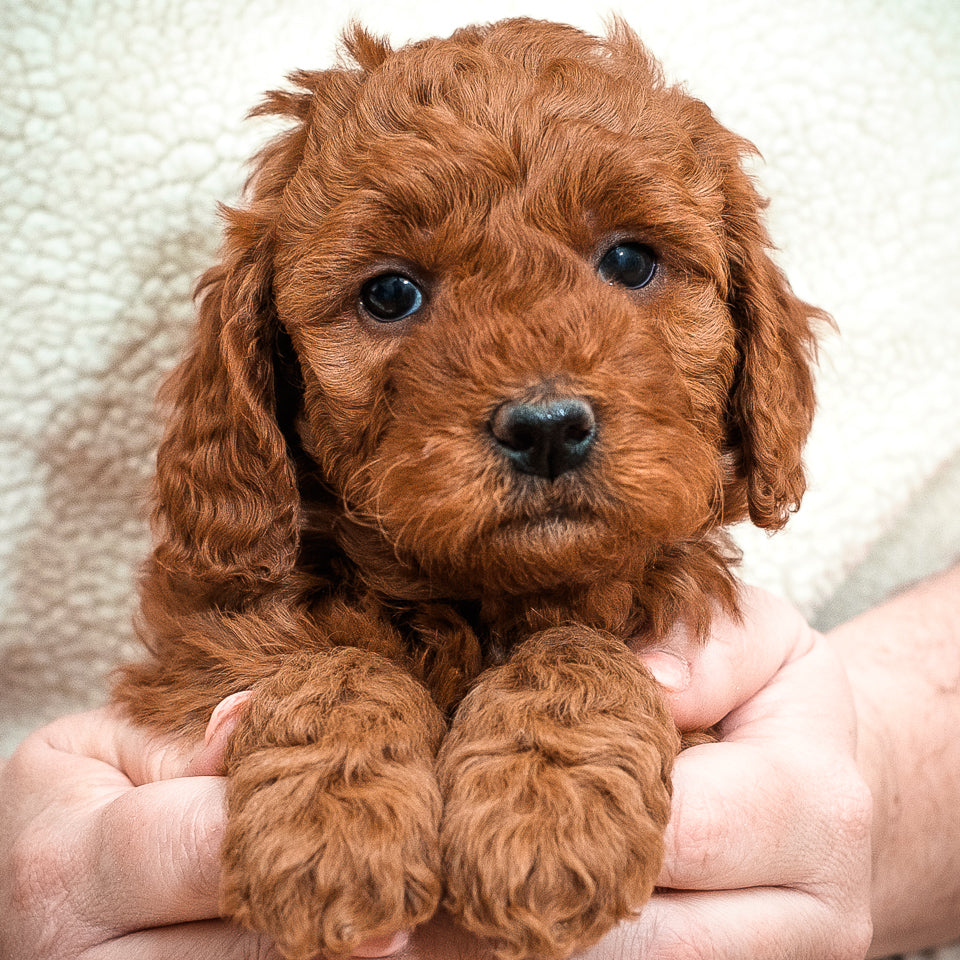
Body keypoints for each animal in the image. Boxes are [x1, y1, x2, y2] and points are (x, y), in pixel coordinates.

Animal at [112, 18, 820, 960]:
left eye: (630, 262)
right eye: (390, 293)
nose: (547, 427)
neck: (481, 603)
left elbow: (577, 649)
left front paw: (543, 819)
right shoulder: (205, 663)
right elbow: (335, 661)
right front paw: (329, 832)